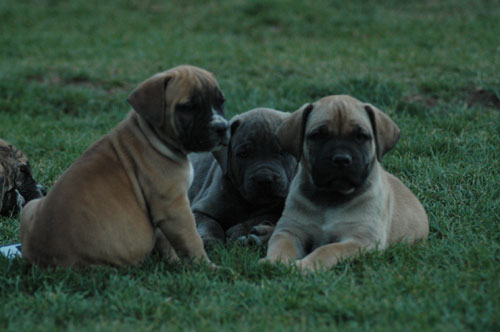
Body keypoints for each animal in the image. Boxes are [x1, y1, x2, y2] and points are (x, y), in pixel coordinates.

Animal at [19, 65, 229, 268]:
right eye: (188, 107)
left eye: (221, 102)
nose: (222, 127)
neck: (150, 134)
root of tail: (46, 261)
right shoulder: (174, 207)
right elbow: (192, 239)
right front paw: (206, 267)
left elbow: (167, 242)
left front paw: (175, 262)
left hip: (30, 205)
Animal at [188, 107, 296, 248]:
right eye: (244, 154)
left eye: (283, 152)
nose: (264, 179)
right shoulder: (199, 210)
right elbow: (209, 223)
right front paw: (210, 240)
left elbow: (263, 217)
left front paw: (240, 231)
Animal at [262, 94, 430, 272]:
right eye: (319, 135)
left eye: (360, 136)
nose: (341, 159)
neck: (329, 197)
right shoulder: (290, 230)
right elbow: (282, 245)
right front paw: (274, 261)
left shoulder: (360, 240)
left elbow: (327, 249)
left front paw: (305, 266)